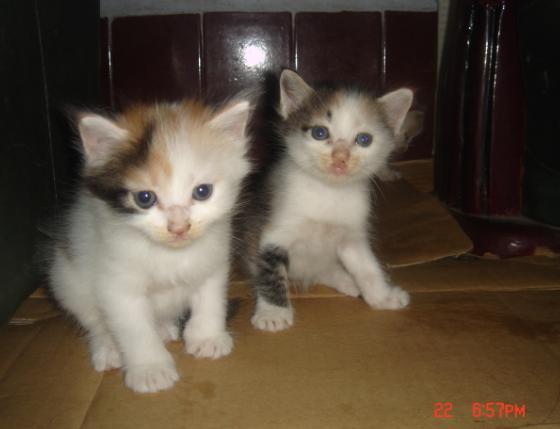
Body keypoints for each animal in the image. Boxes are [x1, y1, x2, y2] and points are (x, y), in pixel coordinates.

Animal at [48, 98, 252, 393]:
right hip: (66, 278)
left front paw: (207, 337)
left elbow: (211, 297)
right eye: (145, 198)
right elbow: (135, 329)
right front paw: (150, 369)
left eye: (202, 192)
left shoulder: (214, 260)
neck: (170, 255)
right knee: (93, 320)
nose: (179, 227)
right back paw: (108, 347)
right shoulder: (116, 284)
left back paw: (165, 327)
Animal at [245, 69, 413, 332]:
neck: (328, 192)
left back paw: (348, 281)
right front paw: (273, 313)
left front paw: (383, 297)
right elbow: (271, 271)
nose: (340, 158)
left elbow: (367, 267)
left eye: (364, 139)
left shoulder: (352, 236)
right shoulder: (274, 233)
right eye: (320, 133)